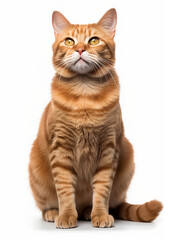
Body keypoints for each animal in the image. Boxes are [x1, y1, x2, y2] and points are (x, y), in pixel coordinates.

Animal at [28, 7, 163, 229]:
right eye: (69, 41)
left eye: (93, 40)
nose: (80, 49)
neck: (85, 95)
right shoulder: (61, 148)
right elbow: (64, 188)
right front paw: (66, 215)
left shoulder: (108, 147)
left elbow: (102, 189)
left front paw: (99, 214)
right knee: (47, 204)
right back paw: (53, 212)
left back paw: (87, 211)